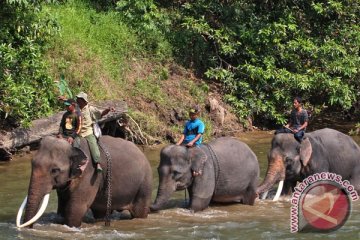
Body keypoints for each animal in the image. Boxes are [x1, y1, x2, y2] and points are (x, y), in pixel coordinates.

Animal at [17, 136, 152, 228]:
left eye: (54, 170)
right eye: (32, 164)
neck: (72, 146)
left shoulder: (89, 174)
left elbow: (75, 209)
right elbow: (62, 209)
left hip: (144, 185)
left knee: (139, 212)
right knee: (100, 212)